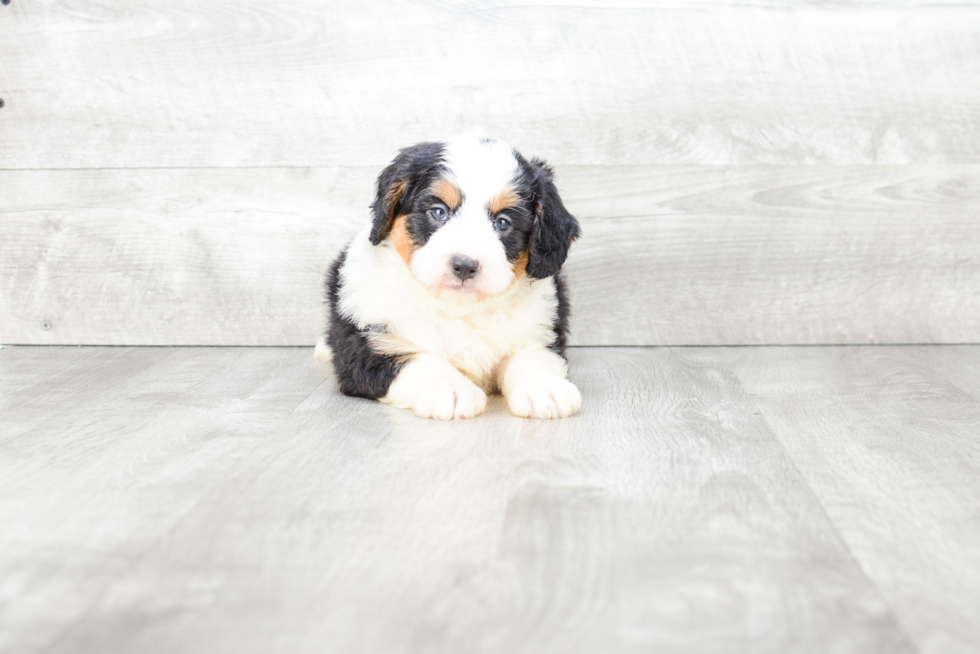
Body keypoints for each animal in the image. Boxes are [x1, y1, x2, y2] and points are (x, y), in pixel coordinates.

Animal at [320, 135, 580, 420]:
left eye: (502, 223)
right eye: (438, 212)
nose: (464, 265)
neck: (459, 310)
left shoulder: (539, 329)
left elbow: (532, 356)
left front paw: (546, 388)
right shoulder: (368, 346)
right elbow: (416, 359)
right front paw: (450, 390)